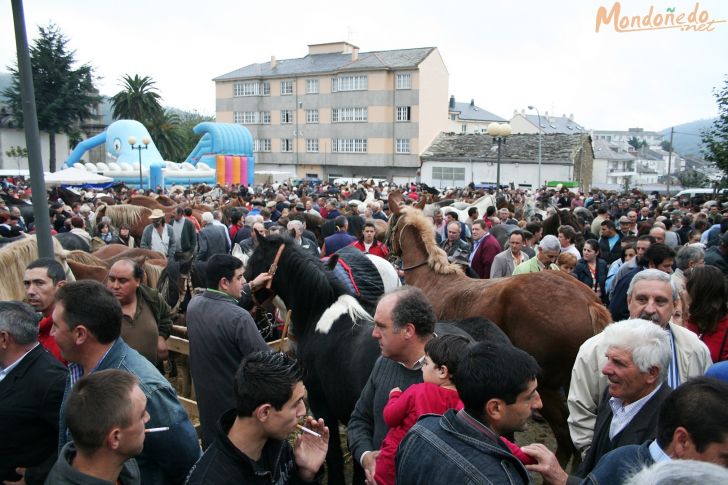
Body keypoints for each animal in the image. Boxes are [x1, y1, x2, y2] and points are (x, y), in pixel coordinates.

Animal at [384, 191, 612, 464]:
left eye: (390, 220)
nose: (385, 248)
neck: (431, 279)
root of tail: (588, 301)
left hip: (544, 386)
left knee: (565, 438)